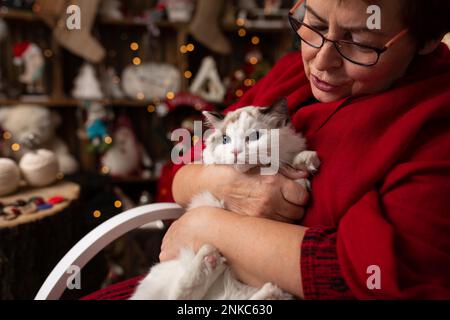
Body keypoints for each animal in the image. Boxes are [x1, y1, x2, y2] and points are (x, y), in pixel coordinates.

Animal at [130, 98, 320, 300]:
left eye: (254, 137)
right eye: (225, 140)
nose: (235, 152)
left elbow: (294, 167)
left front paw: (307, 159)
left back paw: (268, 291)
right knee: (178, 294)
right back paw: (210, 258)